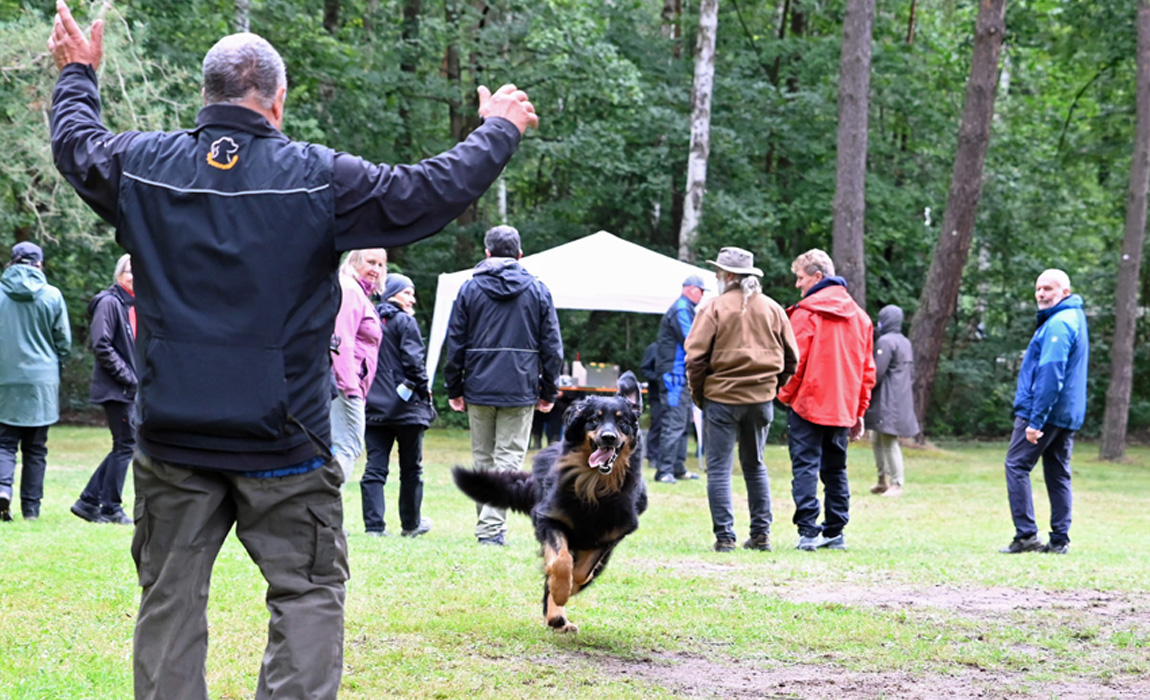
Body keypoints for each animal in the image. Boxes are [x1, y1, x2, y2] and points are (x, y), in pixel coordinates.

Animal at [450, 374, 648, 629]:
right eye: (594, 419)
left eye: (622, 421)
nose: (608, 438)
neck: (594, 487)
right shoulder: (549, 519)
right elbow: (561, 562)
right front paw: (560, 590)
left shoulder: (610, 536)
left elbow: (582, 572)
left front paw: (568, 589)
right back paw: (556, 615)